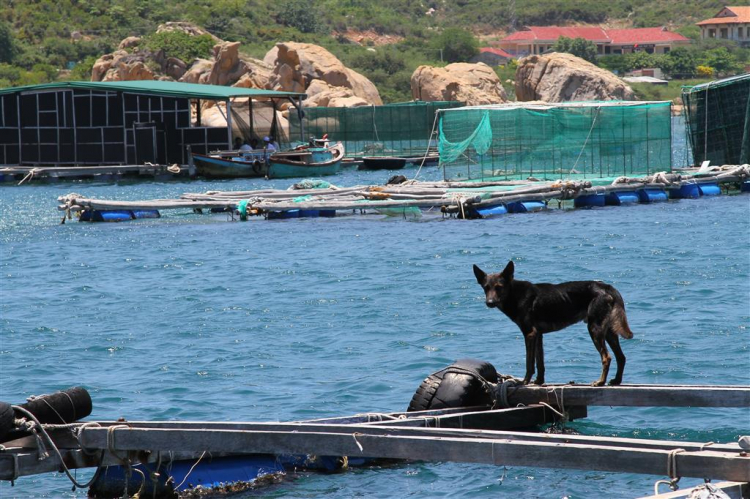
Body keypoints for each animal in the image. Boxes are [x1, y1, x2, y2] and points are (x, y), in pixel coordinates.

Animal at [476, 262, 636, 386]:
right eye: (486, 287)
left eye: (499, 287)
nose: (489, 302)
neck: (515, 294)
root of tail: (607, 287)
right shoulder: (538, 335)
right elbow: (540, 363)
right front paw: (539, 382)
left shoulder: (529, 333)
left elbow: (529, 363)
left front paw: (524, 382)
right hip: (608, 331)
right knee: (621, 357)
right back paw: (616, 380)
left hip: (594, 329)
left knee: (607, 357)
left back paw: (600, 382)